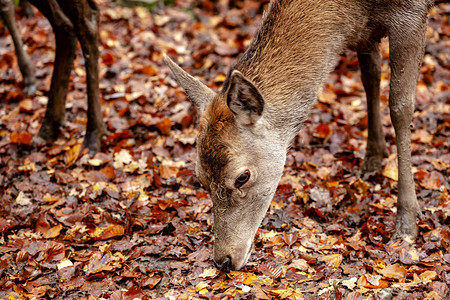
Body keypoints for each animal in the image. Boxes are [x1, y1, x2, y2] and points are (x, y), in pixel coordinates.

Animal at [163, 0, 446, 272]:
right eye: (200, 177)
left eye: (243, 176)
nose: (223, 260)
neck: (353, 11)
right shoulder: (365, 30)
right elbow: (370, 77)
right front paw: (373, 158)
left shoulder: (411, 14)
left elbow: (400, 105)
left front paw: (407, 224)